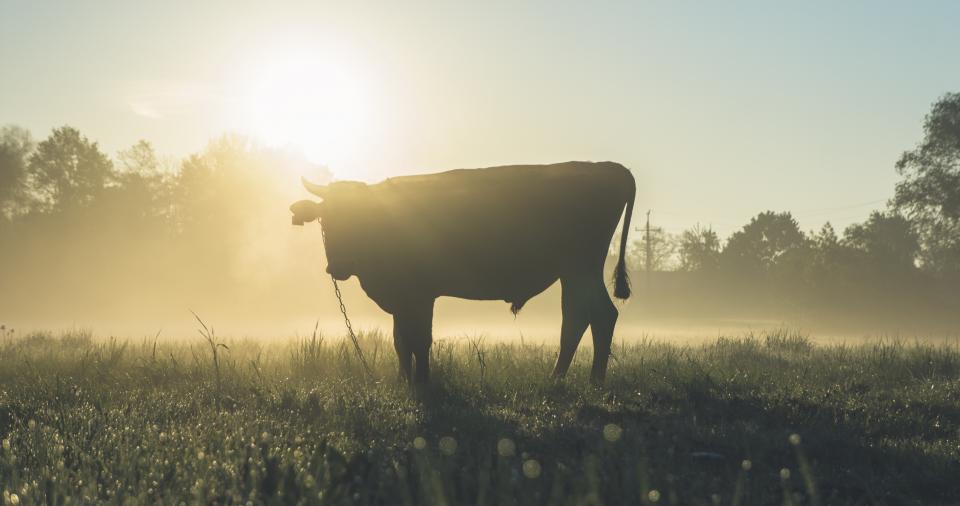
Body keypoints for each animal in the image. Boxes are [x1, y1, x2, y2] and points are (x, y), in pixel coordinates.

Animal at [290, 161, 635, 385]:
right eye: (325, 218)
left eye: (358, 216)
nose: (337, 266)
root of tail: (608, 167)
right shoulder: (401, 299)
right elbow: (400, 340)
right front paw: (403, 380)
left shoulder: (420, 295)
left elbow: (420, 339)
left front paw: (423, 382)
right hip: (575, 273)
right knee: (585, 317)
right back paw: (572, 378)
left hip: (581, 268)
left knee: (593, 316)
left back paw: (583, 380)